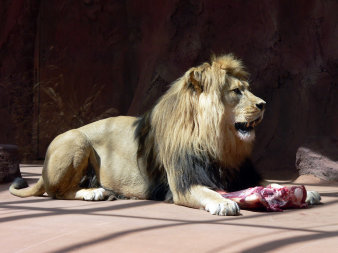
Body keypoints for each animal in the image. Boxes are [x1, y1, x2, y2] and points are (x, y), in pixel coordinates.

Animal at [9, 53, 320, 215]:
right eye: (236, 91)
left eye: (248, 89)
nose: (264, 104)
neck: (219, 141)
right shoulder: (184, 183)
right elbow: (207, 191)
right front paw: (223, 202)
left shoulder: (241, 173)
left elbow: (268, 182)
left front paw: (307, 192)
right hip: (76, 140)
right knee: (55, 192)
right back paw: (94, 192)